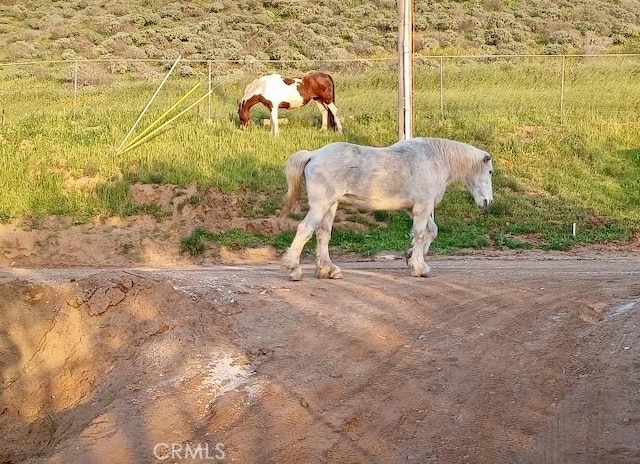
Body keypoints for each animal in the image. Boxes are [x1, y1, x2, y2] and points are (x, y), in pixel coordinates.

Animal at [282, 138, 496, 280]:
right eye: (490, 172)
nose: (488, 201)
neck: (434, 160)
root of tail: (312, 155)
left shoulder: (414, 209)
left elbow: (430, 231)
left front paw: (410, 257)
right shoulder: (422, 208)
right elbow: (420, 234)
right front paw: (419, 268)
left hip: (331, 205)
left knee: (323, 234)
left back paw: (328, 270)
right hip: (320, 205)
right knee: (305, 229)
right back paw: (294, 269)